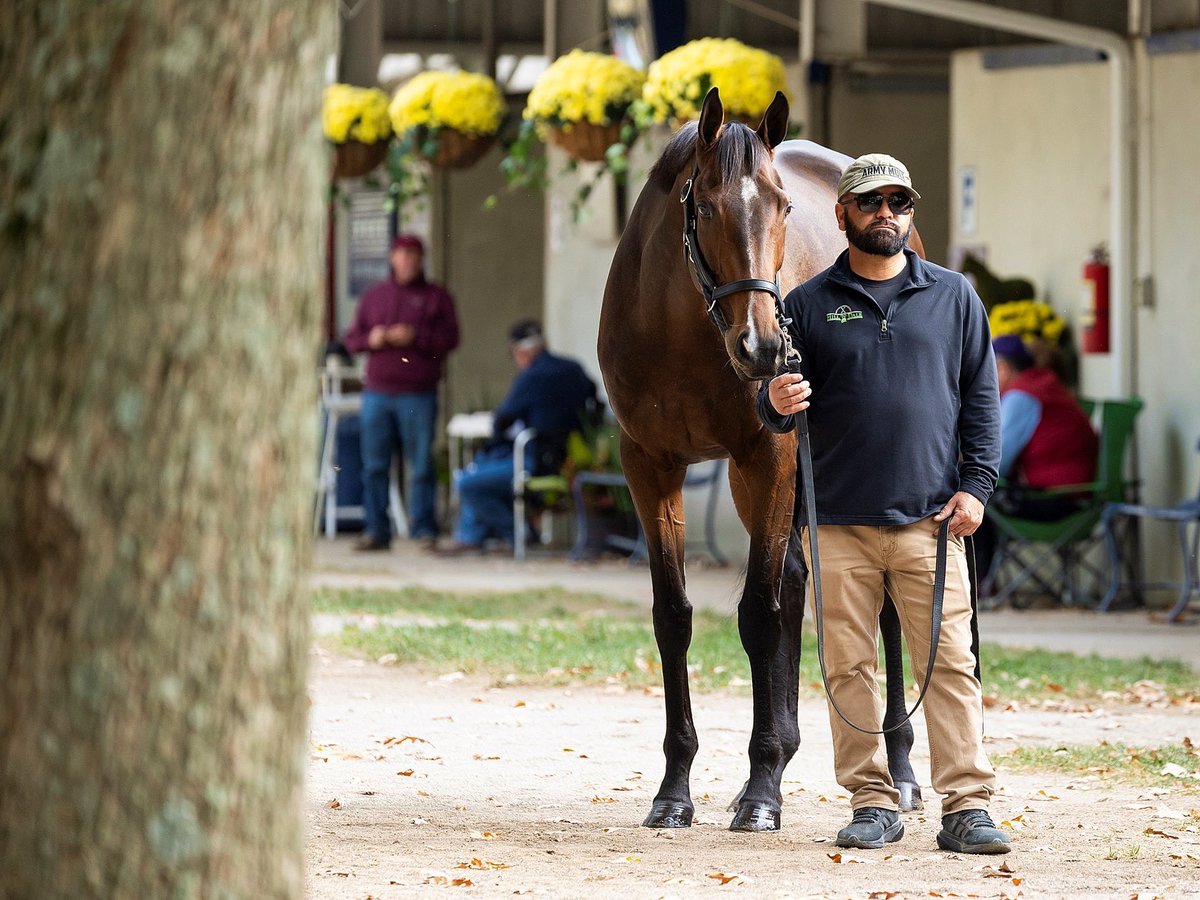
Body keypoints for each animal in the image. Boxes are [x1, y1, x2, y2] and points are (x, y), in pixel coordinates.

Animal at [597, 87, 924, 832]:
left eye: (783, 206)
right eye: (706, 208)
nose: (765, 346)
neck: (685, 332)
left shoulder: (766, 455)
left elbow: (758, 613)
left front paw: (763, 790)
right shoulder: (649, 465)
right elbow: (675, 616)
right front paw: (675, 790)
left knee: (886, 603)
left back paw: (897, 770)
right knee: (799, 579)